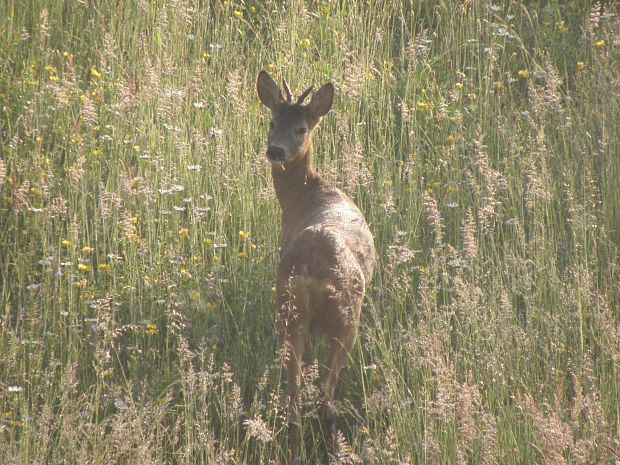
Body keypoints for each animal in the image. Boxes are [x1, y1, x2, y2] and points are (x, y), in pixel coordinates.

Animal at [256, 70, 376, 462]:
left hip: (288, 310)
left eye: (301, 128)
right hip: (347, 320)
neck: (308, 194)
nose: (275, 150)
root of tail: (311, 274)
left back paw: (296, 450)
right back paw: (334, 446)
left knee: (295, 389)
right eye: (272, 121)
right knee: (326, 392)